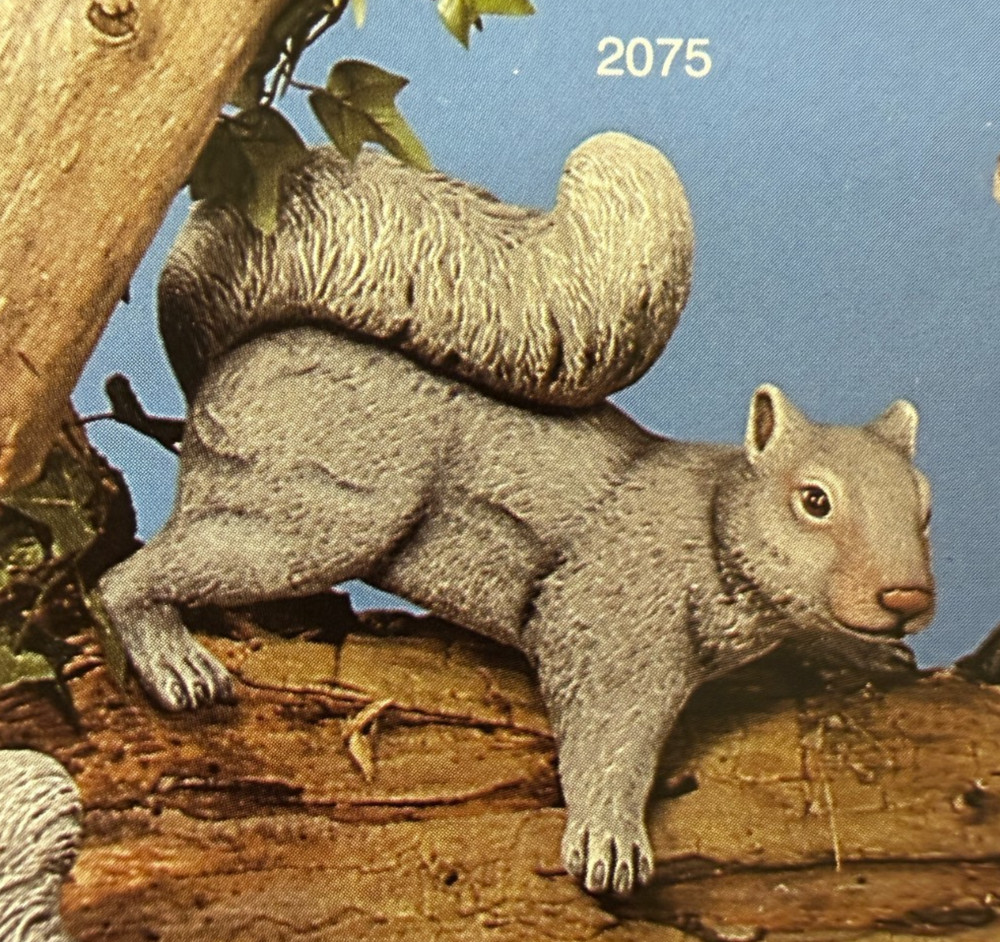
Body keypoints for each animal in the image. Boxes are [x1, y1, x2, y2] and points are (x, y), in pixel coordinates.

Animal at [98, 133, 935, 898]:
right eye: (814, 500)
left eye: (926, 505)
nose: (908, 597)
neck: (713, 526)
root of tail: (233, 365)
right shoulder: (606, 625)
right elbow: (607, 738)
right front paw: (608, 840)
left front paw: (868, 653)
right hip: (316, 516)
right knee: (127, 578)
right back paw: (172, 656)